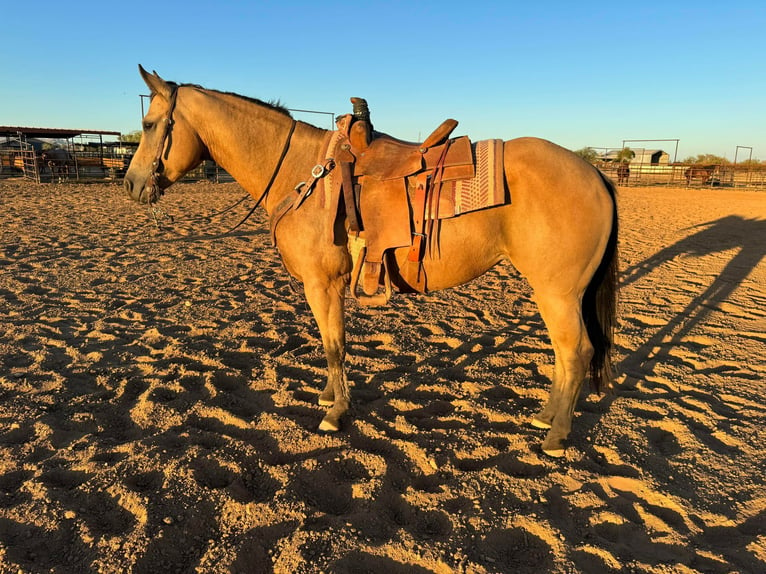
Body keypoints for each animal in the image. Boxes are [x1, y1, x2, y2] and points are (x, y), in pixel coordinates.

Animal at [123, 65, 620, 456]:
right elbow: (328, 341)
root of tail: (595, 174)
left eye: (148, 124)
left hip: (557, 292)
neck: (302, 172)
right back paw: (545, 417)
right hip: (557, 293)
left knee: (575, 352)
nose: (130, 184)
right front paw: (329, 396)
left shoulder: (322, 283)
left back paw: (555, 436)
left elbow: (334, 344)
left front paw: (337, 412)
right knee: (564, 354)